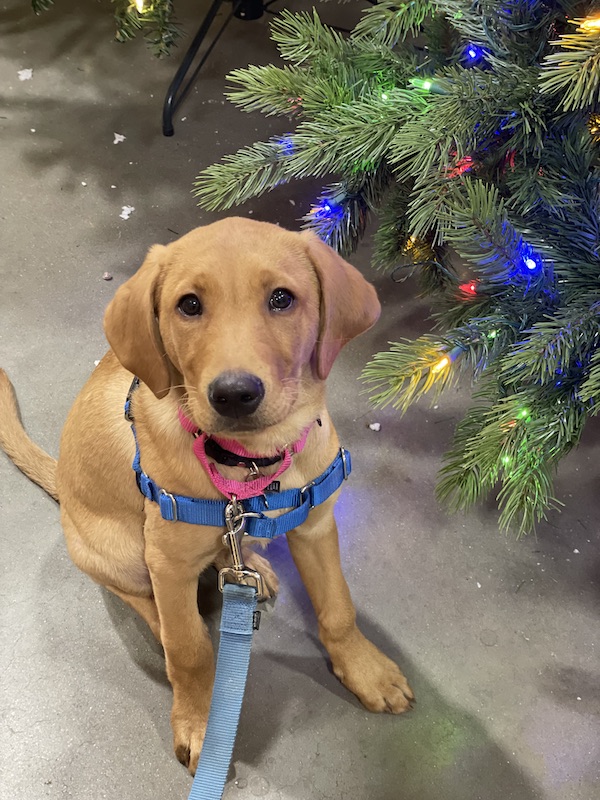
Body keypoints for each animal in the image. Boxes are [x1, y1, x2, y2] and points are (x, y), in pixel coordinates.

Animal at [0, 216, 412, 772]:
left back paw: (251, 566)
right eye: (189, 305)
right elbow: (188, 649)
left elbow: (338, 608)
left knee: (231, 557)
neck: (250, 465)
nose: (235, 394)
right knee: (146, 603)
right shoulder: (169, 563)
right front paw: (199, 722)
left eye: (282, 299)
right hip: (119, 551)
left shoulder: (316, 524)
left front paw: (366, 669)